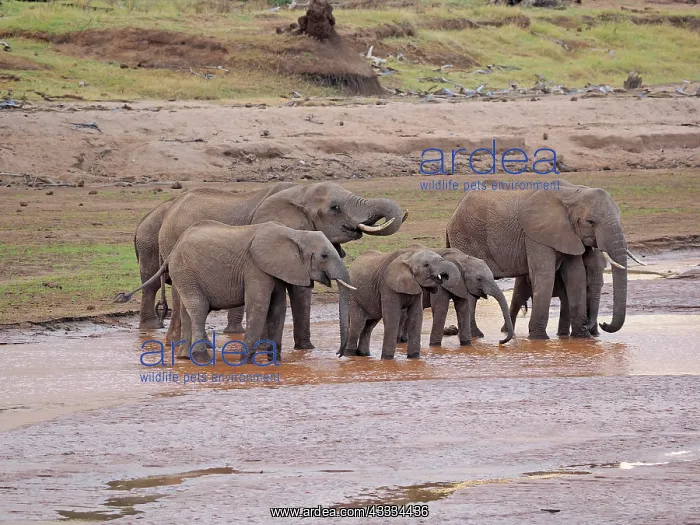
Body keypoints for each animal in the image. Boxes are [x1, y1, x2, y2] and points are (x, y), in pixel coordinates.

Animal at [116, 221, 355, 362]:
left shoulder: (275, 268)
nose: (339, 355)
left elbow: (277, 308)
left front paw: (273, 360)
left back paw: (185, 357)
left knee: (187, 310)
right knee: (198, 308)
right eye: (324, 256)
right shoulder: (256, 268)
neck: (294, 233)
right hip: (186, 271)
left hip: (184, 274)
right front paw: (245, 360)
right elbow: (259, 305)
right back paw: (202, 358)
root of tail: (173, 250)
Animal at [445, 180, 629, 339]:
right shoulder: (535, 235)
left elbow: (576, 276)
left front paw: (581, 337)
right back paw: (477, 335)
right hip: (466, 238)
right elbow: (544, 274)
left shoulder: (569, 235)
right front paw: (539, 338)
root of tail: (455, 211)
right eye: (590, 222)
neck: (572, 194)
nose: (603, 324)